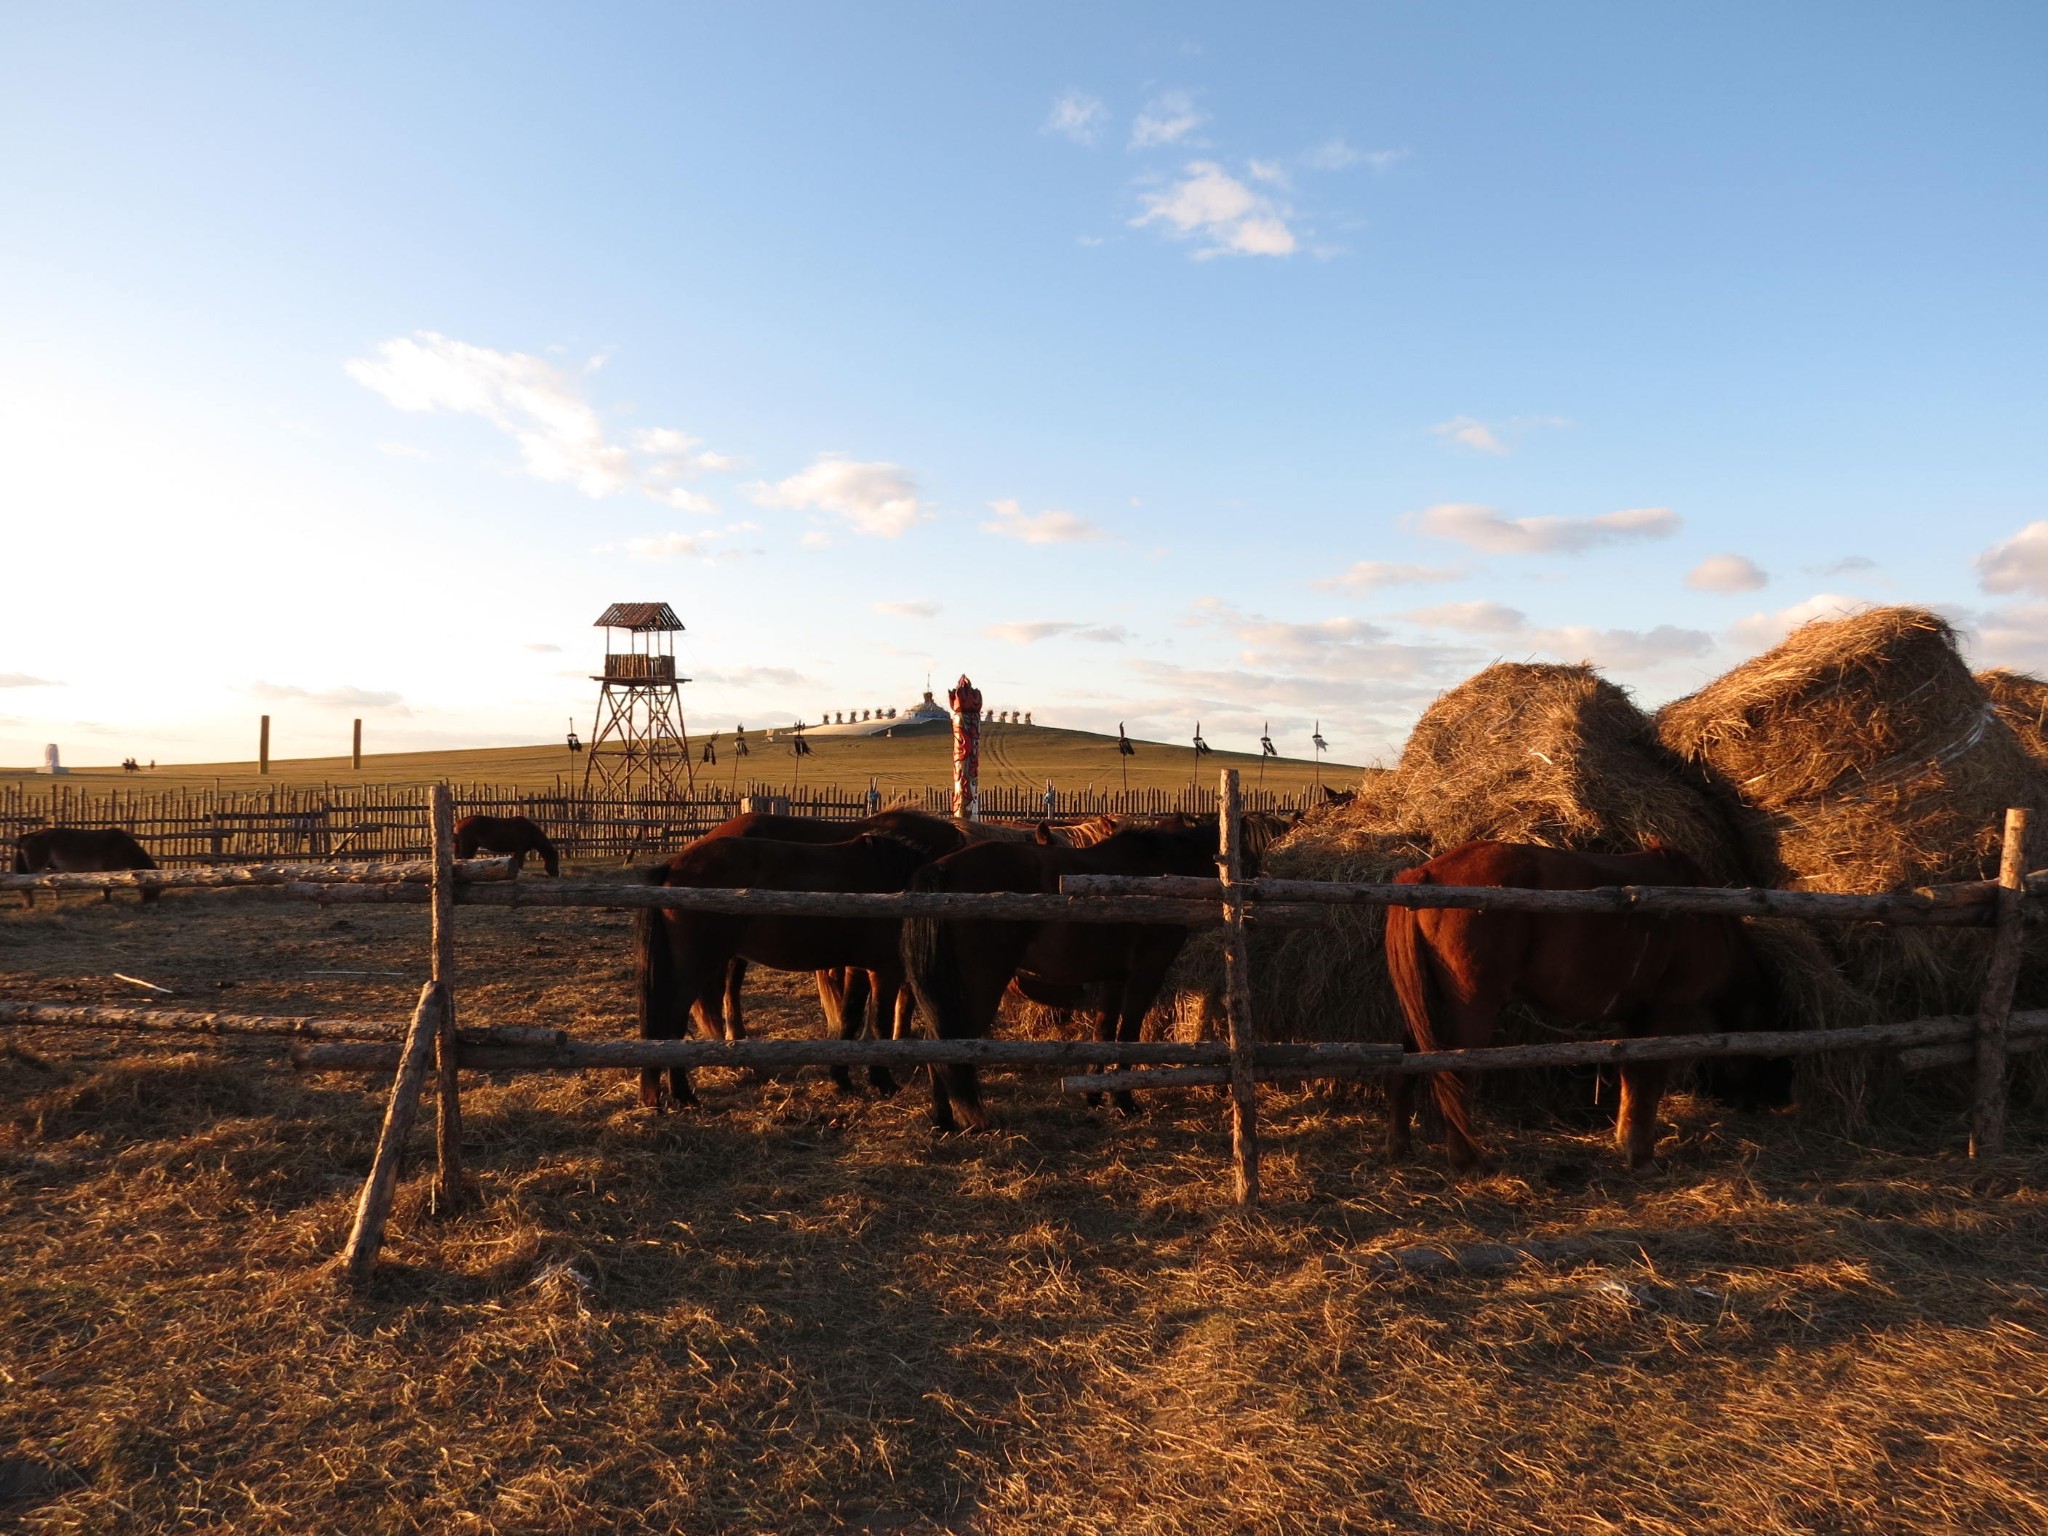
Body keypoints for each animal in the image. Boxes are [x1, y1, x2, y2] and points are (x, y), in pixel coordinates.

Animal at [11, 831, 157, 901]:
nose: (150, 903)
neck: (121, 846)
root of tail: (27, 835)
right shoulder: (108, 870)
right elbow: (107, 889)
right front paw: (106, 902)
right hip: (35, 868)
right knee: (27, 885)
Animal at [634, 835, 933, 1114]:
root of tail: (674, 865)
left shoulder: (857, 967)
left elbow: (849, 1019)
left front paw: (842, 1080)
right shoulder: (884, 970)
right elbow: (879, 1023)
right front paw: (884, 1083)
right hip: (696, 967)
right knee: (674, 1026)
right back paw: (684, 1096)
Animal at [909, 823, 1220, 1138]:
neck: (1159, 867)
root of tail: (943, 870)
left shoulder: (1114, 978)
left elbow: (1104, 1033)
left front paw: (1095, 1095)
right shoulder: (1146, 975)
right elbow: (1127, 1036)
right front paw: (1124, 1102)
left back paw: (943, 1120)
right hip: (978, 989)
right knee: (948, 1046)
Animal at [1392, 843, 1777, 1163]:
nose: (1763, 1102)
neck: (1706, 917)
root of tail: (1425, 873)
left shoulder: (1634, 1017)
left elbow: (1631, 1075)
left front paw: (1625, 1139)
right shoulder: (1666, 1012)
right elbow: (1649, 1077)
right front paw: (1640, 1154)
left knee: (1408, 1061)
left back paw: (1400, 1147)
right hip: (1474, 1009)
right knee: (1457, 1073)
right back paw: (1467, 1160)